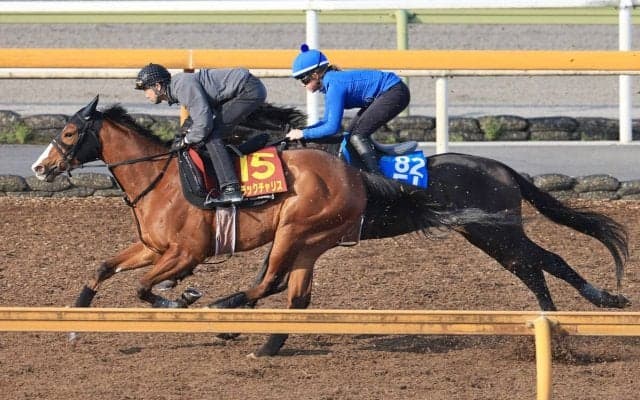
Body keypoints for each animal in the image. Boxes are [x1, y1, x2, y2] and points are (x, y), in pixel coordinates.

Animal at [31, 96, 630, 357]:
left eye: (68, 134)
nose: (40, 168)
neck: (163, 178)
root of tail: (503, 168)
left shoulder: (187, 252)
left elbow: (144, 286)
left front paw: (186, 300)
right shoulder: (152, 246)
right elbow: (103, 269)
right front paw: (75, 321)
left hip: (484, 231)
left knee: (540, 264)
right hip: (469, 232)